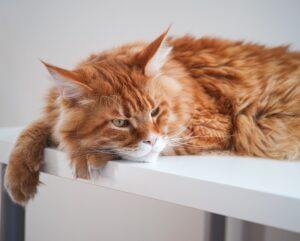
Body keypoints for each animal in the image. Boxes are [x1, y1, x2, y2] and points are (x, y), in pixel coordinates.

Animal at [4, 28, 300, 205]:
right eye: (120, 122)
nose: (151, 140)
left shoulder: (215, 125)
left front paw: (85, 154)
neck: (183, 76)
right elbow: (36, 128)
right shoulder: (52, 115)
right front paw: (18, 175)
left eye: (155, 111)